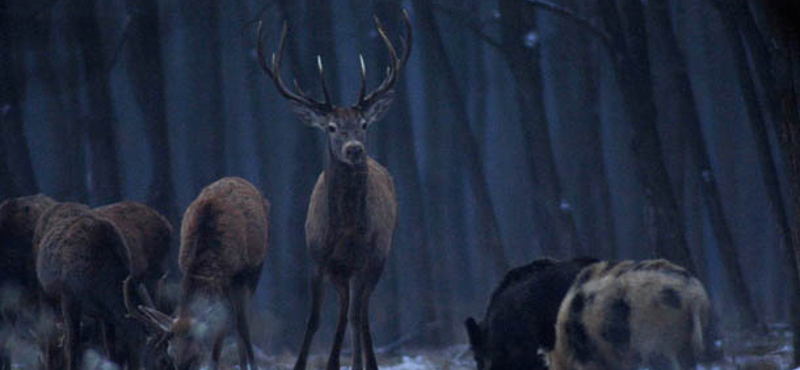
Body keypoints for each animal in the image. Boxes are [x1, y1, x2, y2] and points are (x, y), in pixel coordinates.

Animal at [131, 176, 268, 370]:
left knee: (242, 322)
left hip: (254, 271)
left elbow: (229, 331)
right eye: (171, 356)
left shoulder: (234, 276)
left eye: (194, 357)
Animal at [258, 10, 412, 370]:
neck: (345, 232)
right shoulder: (318, 259)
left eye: (364, 124)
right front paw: (306, 363)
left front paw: (344, 363)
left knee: (360, 314)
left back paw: (364, 362)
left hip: (377, 260)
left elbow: (353, 317)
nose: (355, 149)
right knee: (350, 312)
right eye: (331, 127)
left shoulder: (370, 258)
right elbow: (315, 319)